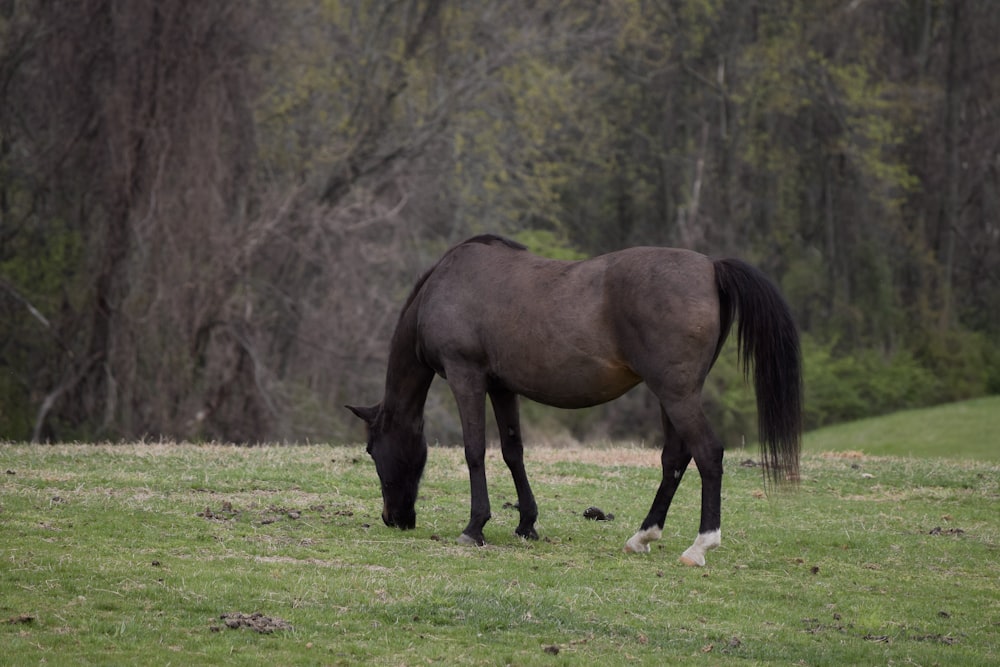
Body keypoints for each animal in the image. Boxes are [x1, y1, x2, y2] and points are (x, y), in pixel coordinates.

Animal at [348, 232, 800, 568]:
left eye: (372, 450)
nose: (394, 519)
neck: (445, 286)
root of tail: (710, 266)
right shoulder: (501, 386)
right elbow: (513, 451)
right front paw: (526, 524)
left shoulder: (467, 377)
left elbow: (475, 451)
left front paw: (475, 527)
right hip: (672, 395)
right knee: (675, 458)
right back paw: (643, 536)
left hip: (677, 394)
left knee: (707, 454)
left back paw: (700, 545)